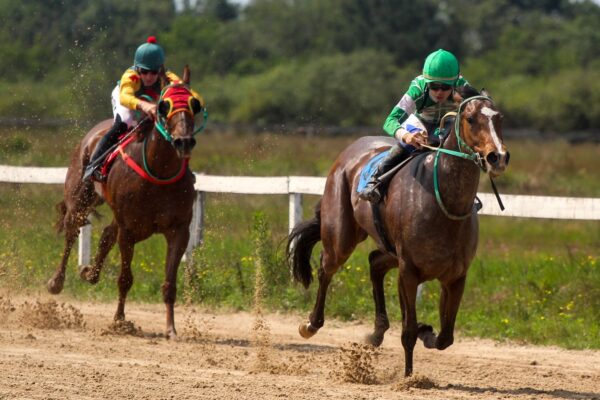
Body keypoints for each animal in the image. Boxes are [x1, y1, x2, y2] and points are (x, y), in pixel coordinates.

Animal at [48, 66, 203, 338]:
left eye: (194, 104)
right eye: (164, 106)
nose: (183, 141)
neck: (158, 171)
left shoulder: (179, 230)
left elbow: (169, 283)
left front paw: (171, 329)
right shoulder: (129, 230)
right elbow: (125, 278)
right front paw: (120, 321)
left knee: (107, 234)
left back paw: (90, 272)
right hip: (80, 197)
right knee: (71, 231)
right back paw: (57, 281)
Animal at [288, 86, 508, 376]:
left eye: (499, 117)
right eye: (471, 119)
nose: (498, 157)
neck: (443, 203)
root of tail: (351, 151)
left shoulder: (455, 276)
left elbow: (445, 337)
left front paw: (427, 331)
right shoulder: (409, 270)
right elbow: (408, 331)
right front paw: (408, 377)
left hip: (388, 248)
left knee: (374, 262)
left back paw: (376, 332)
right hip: (341, 236)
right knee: (326, 266)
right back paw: (311, 324)